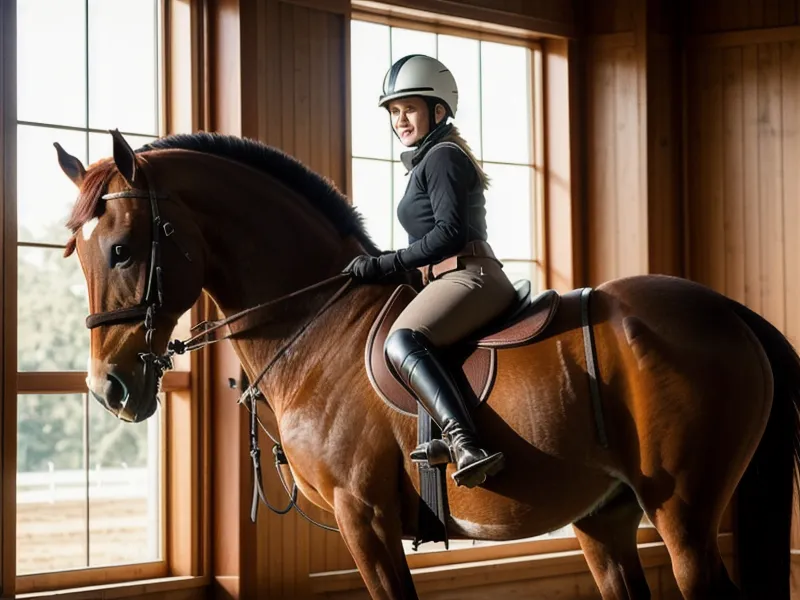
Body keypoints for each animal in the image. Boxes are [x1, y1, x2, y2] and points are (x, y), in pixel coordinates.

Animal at [54, 129, 800, 600]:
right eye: (78, 256)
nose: (109, 388)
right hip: (605, 519)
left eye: (121, 249)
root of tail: (727, 311)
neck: (315, 323)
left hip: (683, 514)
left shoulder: (366, 517)